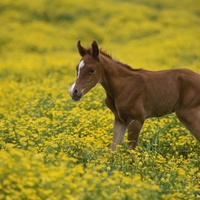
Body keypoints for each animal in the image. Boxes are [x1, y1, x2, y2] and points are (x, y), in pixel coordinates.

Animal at [69, 40, 200, 150]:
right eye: (77, 68)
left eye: (91, 70)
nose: (73, 92)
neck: (123, 86)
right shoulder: (119, 120)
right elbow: (113, 149)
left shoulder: (136, 120)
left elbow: (131, 152)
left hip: (187, 113)